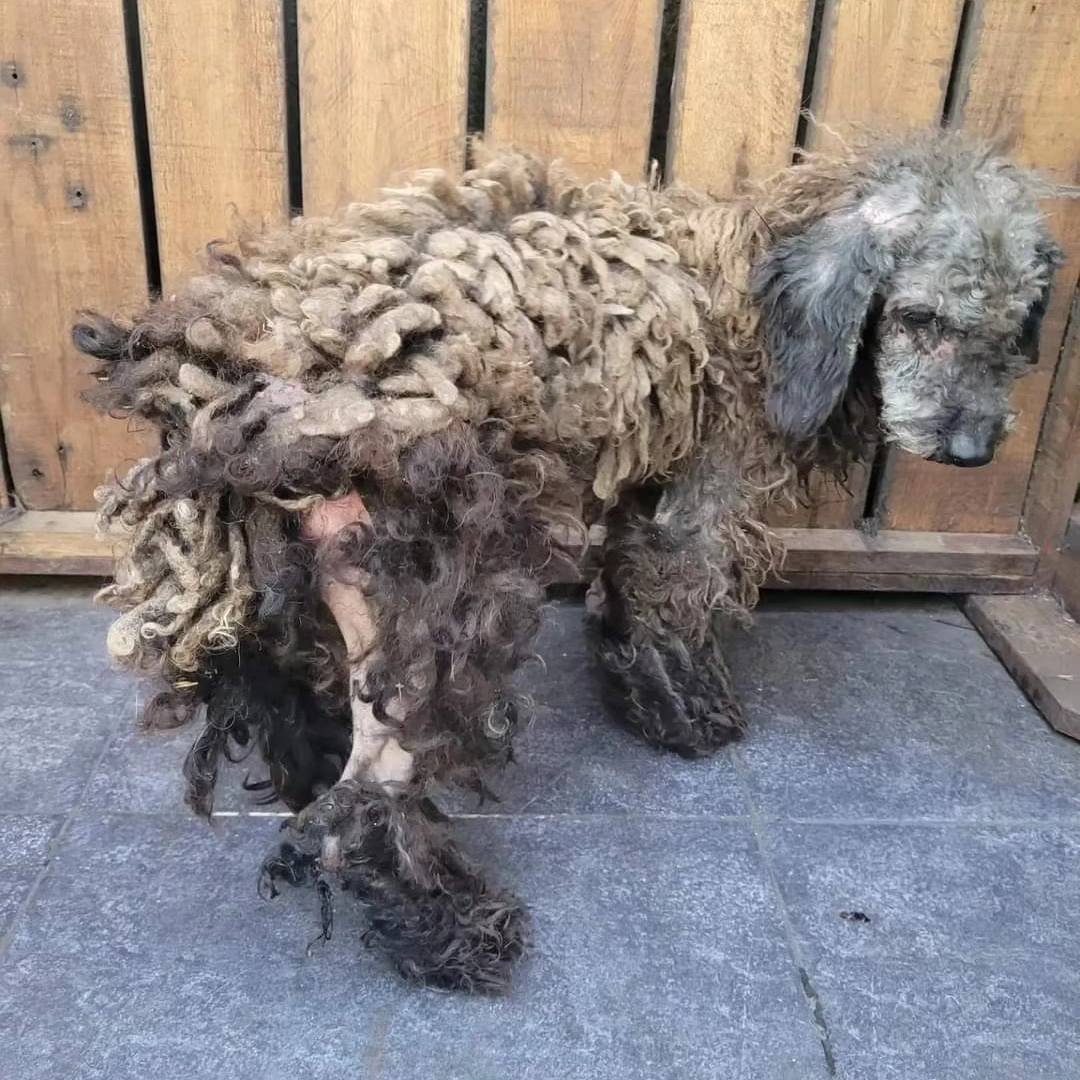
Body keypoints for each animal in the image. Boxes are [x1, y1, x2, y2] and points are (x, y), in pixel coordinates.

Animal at [76, 130, 1062, 989]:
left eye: (1015, 326)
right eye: (921, 317)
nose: (972, 449)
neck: (748, 273)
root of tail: (229, 380)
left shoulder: (650, 484)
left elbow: (626, 586)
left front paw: (644, 697)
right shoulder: (703, 491)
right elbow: (671, 600)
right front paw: (689, 716)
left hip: (292, 578)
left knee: (291, 712)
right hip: (435, 599)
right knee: (364, 798)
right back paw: (450, 931)